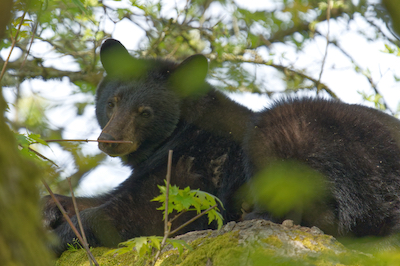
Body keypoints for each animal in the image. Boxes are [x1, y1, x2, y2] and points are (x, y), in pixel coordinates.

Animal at [41, 38, 400, 255]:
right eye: (112, 102)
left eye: (146, 112)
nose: (110, 140)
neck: (180, 131)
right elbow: (99, 198)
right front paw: (49, 208)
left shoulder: (192, 169)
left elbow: (146, 213)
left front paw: (58, 237)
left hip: (304, 133)